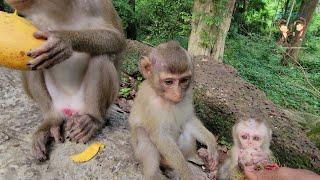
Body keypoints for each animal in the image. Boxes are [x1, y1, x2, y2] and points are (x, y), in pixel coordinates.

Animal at [5, 0, 125, 160]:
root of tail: (70, 109)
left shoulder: (96, 4)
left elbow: (117, 39)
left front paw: (63, 41)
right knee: (30, 63)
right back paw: (51, 121)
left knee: (101, 56)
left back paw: (92, 119)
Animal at [129, 41, 219, 179]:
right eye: (169, 82)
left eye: (184, 80)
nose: (177, 94)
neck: (164, 98)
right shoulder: (151, 104)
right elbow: (161, 136)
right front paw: (186, 174)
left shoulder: (188, 95)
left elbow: (188, 120)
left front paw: (211, 142)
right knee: (142, 134)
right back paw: (154, 175)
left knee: (187, 132)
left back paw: (187, 159)